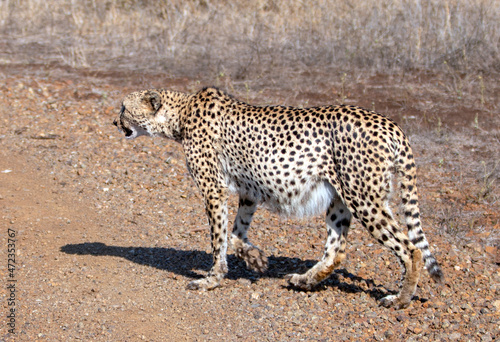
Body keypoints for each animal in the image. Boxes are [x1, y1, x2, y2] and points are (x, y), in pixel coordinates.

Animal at [115, 87, 444, 308]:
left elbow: (219, 240)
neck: (181, 114)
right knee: (336, 251)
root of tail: (390, 123)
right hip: (340, 199)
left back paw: (400, 299)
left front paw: (211, 279)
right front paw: (257, 260)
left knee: (411, 249)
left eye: (123, 108)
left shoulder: (214, 190)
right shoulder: (248, 191)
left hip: (364, 198)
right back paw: (305, 281)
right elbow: (235, 235)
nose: (114, 123)